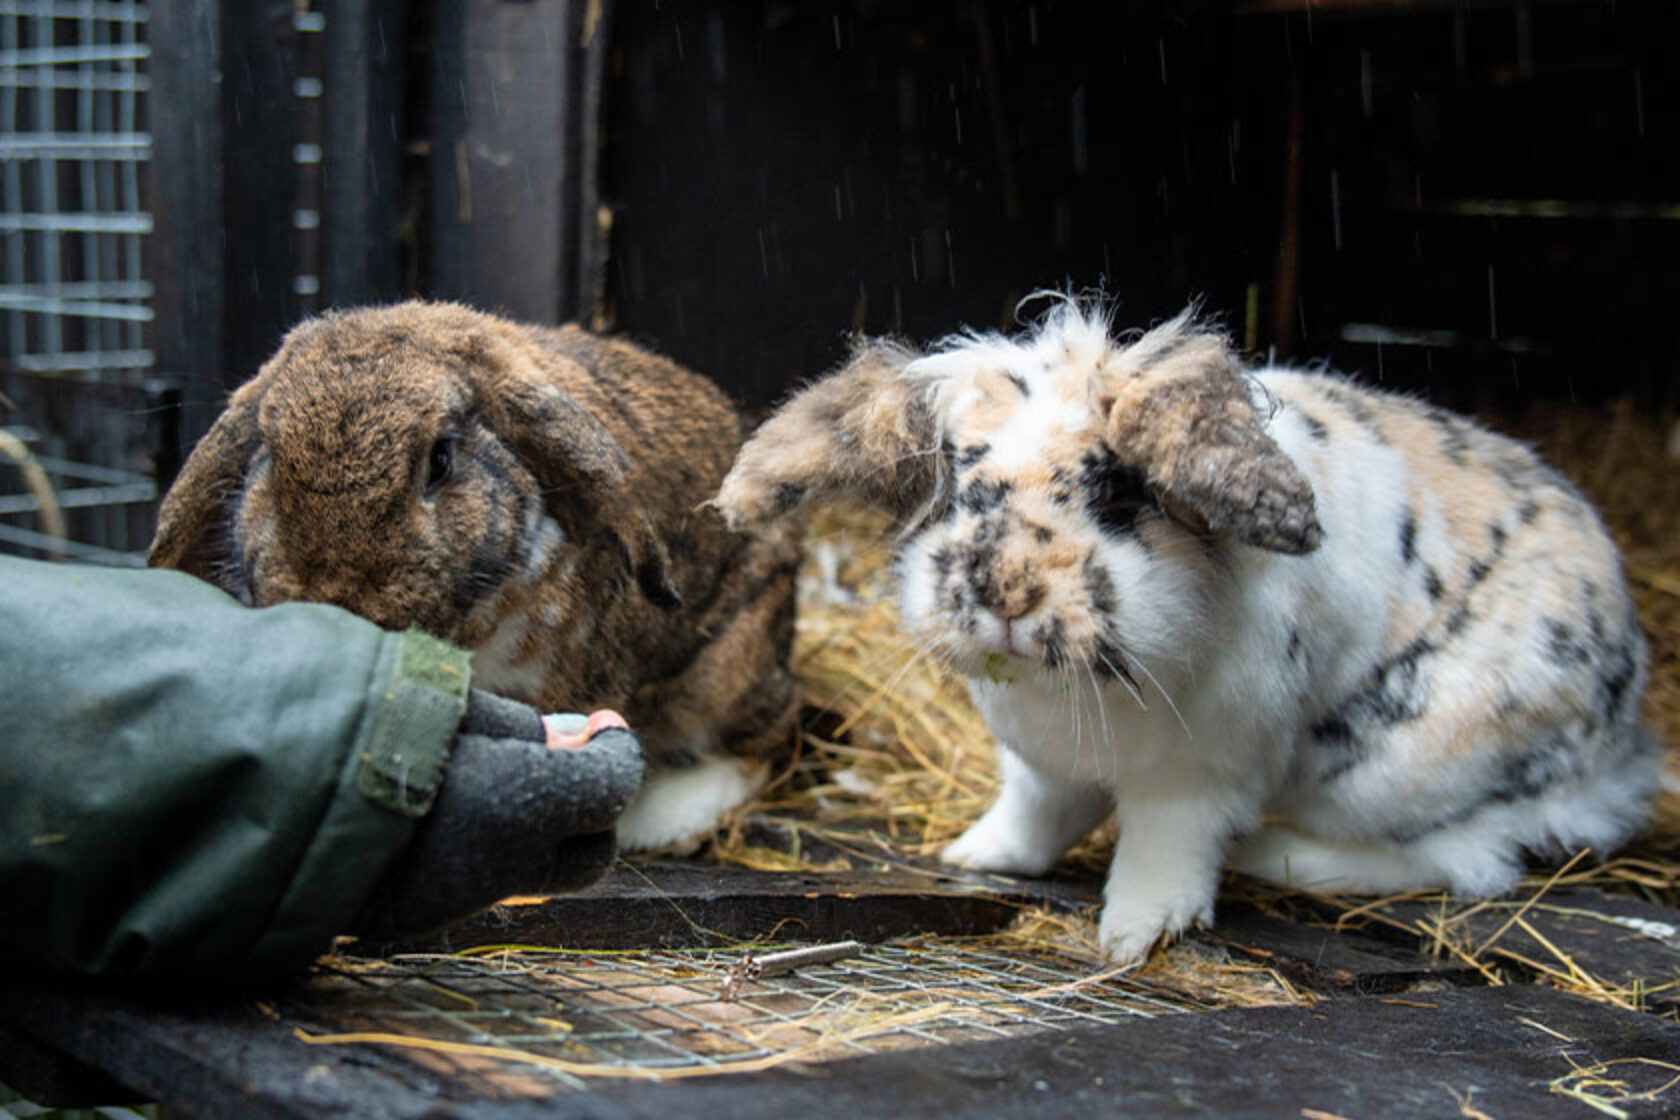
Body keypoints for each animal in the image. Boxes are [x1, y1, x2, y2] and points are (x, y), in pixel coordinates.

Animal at [713, 296, 1659, 965]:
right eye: (960, 484)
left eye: (1119, 494)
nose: (1006, 587)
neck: (1082, 683)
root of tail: (1621, 745)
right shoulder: (1044, 765)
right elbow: (1036, 812)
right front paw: (977, 857)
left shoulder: (1199, 778)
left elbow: (1165, 851)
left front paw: (1134, 936)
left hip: (1388, 770)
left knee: (1468, 859)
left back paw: (1276, 856)